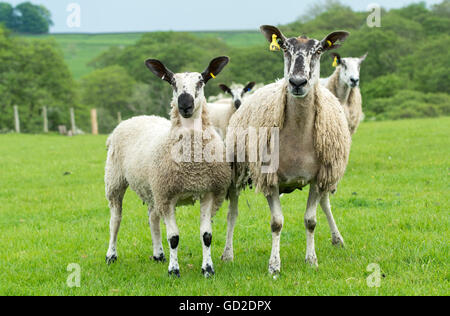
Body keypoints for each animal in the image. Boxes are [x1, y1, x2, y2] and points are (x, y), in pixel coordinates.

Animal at [223, 25, 354, 274]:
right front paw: (274, 265)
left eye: (319, 50)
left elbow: (311, 221)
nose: (297, 82)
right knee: (232, 213)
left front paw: (311, 260)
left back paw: (338, 239)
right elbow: (276, 223)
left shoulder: (318, 177)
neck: (297, 138)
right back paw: (227, 254)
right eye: (284, 47)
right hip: (236, 168)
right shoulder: (269, 178)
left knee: (325, 203)